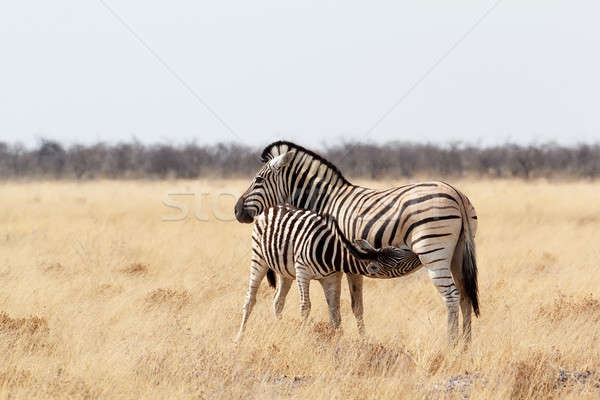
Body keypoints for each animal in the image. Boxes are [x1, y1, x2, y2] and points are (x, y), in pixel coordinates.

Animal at [234, 205, 412, 342]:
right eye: (397, 262)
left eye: (397, 249)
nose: (415, 253)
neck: (334, 253)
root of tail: (273, 207)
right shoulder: (302, 272)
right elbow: (306, 306)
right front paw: (302, 337)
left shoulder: (332, 278)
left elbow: (335, 311)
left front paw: (336, 341)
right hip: (259, 257)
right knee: (250, 299)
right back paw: (239, 338)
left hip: (286, 272)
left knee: (278, 301)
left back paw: (279, 329)